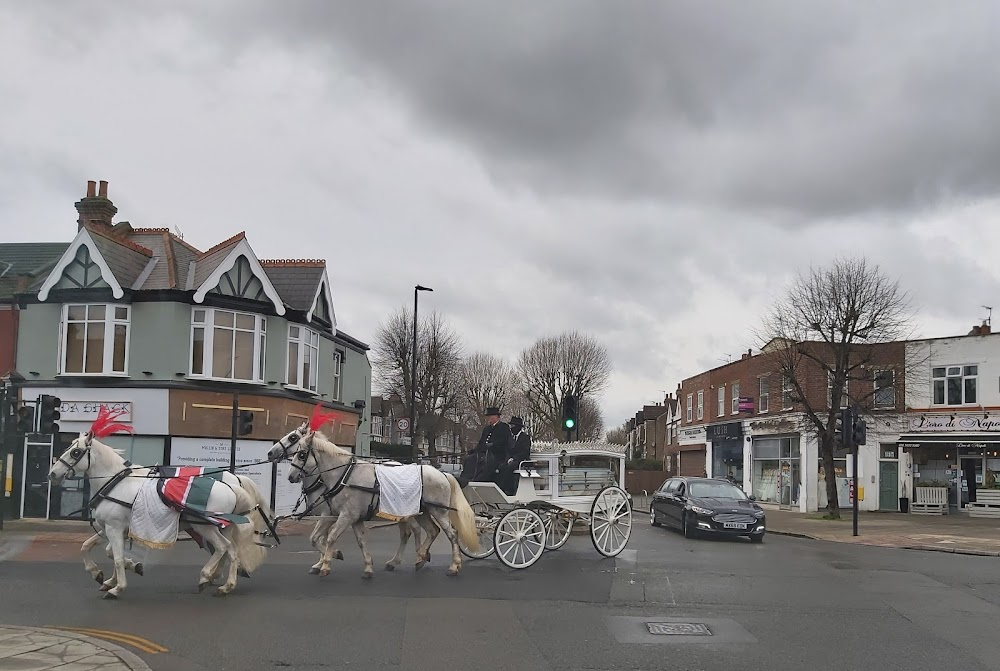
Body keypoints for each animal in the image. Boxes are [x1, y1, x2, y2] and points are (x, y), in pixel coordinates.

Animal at [48, 410, 272, 600]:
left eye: (75, 452)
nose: (52, 474)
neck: (115, 483)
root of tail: (231, 485)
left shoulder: (114, 528)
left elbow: (117, 557)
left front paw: (117, 587)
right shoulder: (109, 528)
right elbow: (94, 548)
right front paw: (105, 574)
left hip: (204, 526)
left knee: (223, 548)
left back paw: (207, 576)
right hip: (222, 527)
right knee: (231, 551)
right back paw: (225, 584)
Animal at [268, 412, 478, 580]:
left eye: (295, 442)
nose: (290, 476)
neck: (343, 475)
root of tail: (442, 474)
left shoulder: (343, 515)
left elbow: (328, 538)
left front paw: (327, 562)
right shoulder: (350, 517)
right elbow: (346, 540)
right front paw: (364, 566)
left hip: (438, 511)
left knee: (450, 534)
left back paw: (452, 565)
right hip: (421, 511)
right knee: (428, 531)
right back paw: (417, 558)